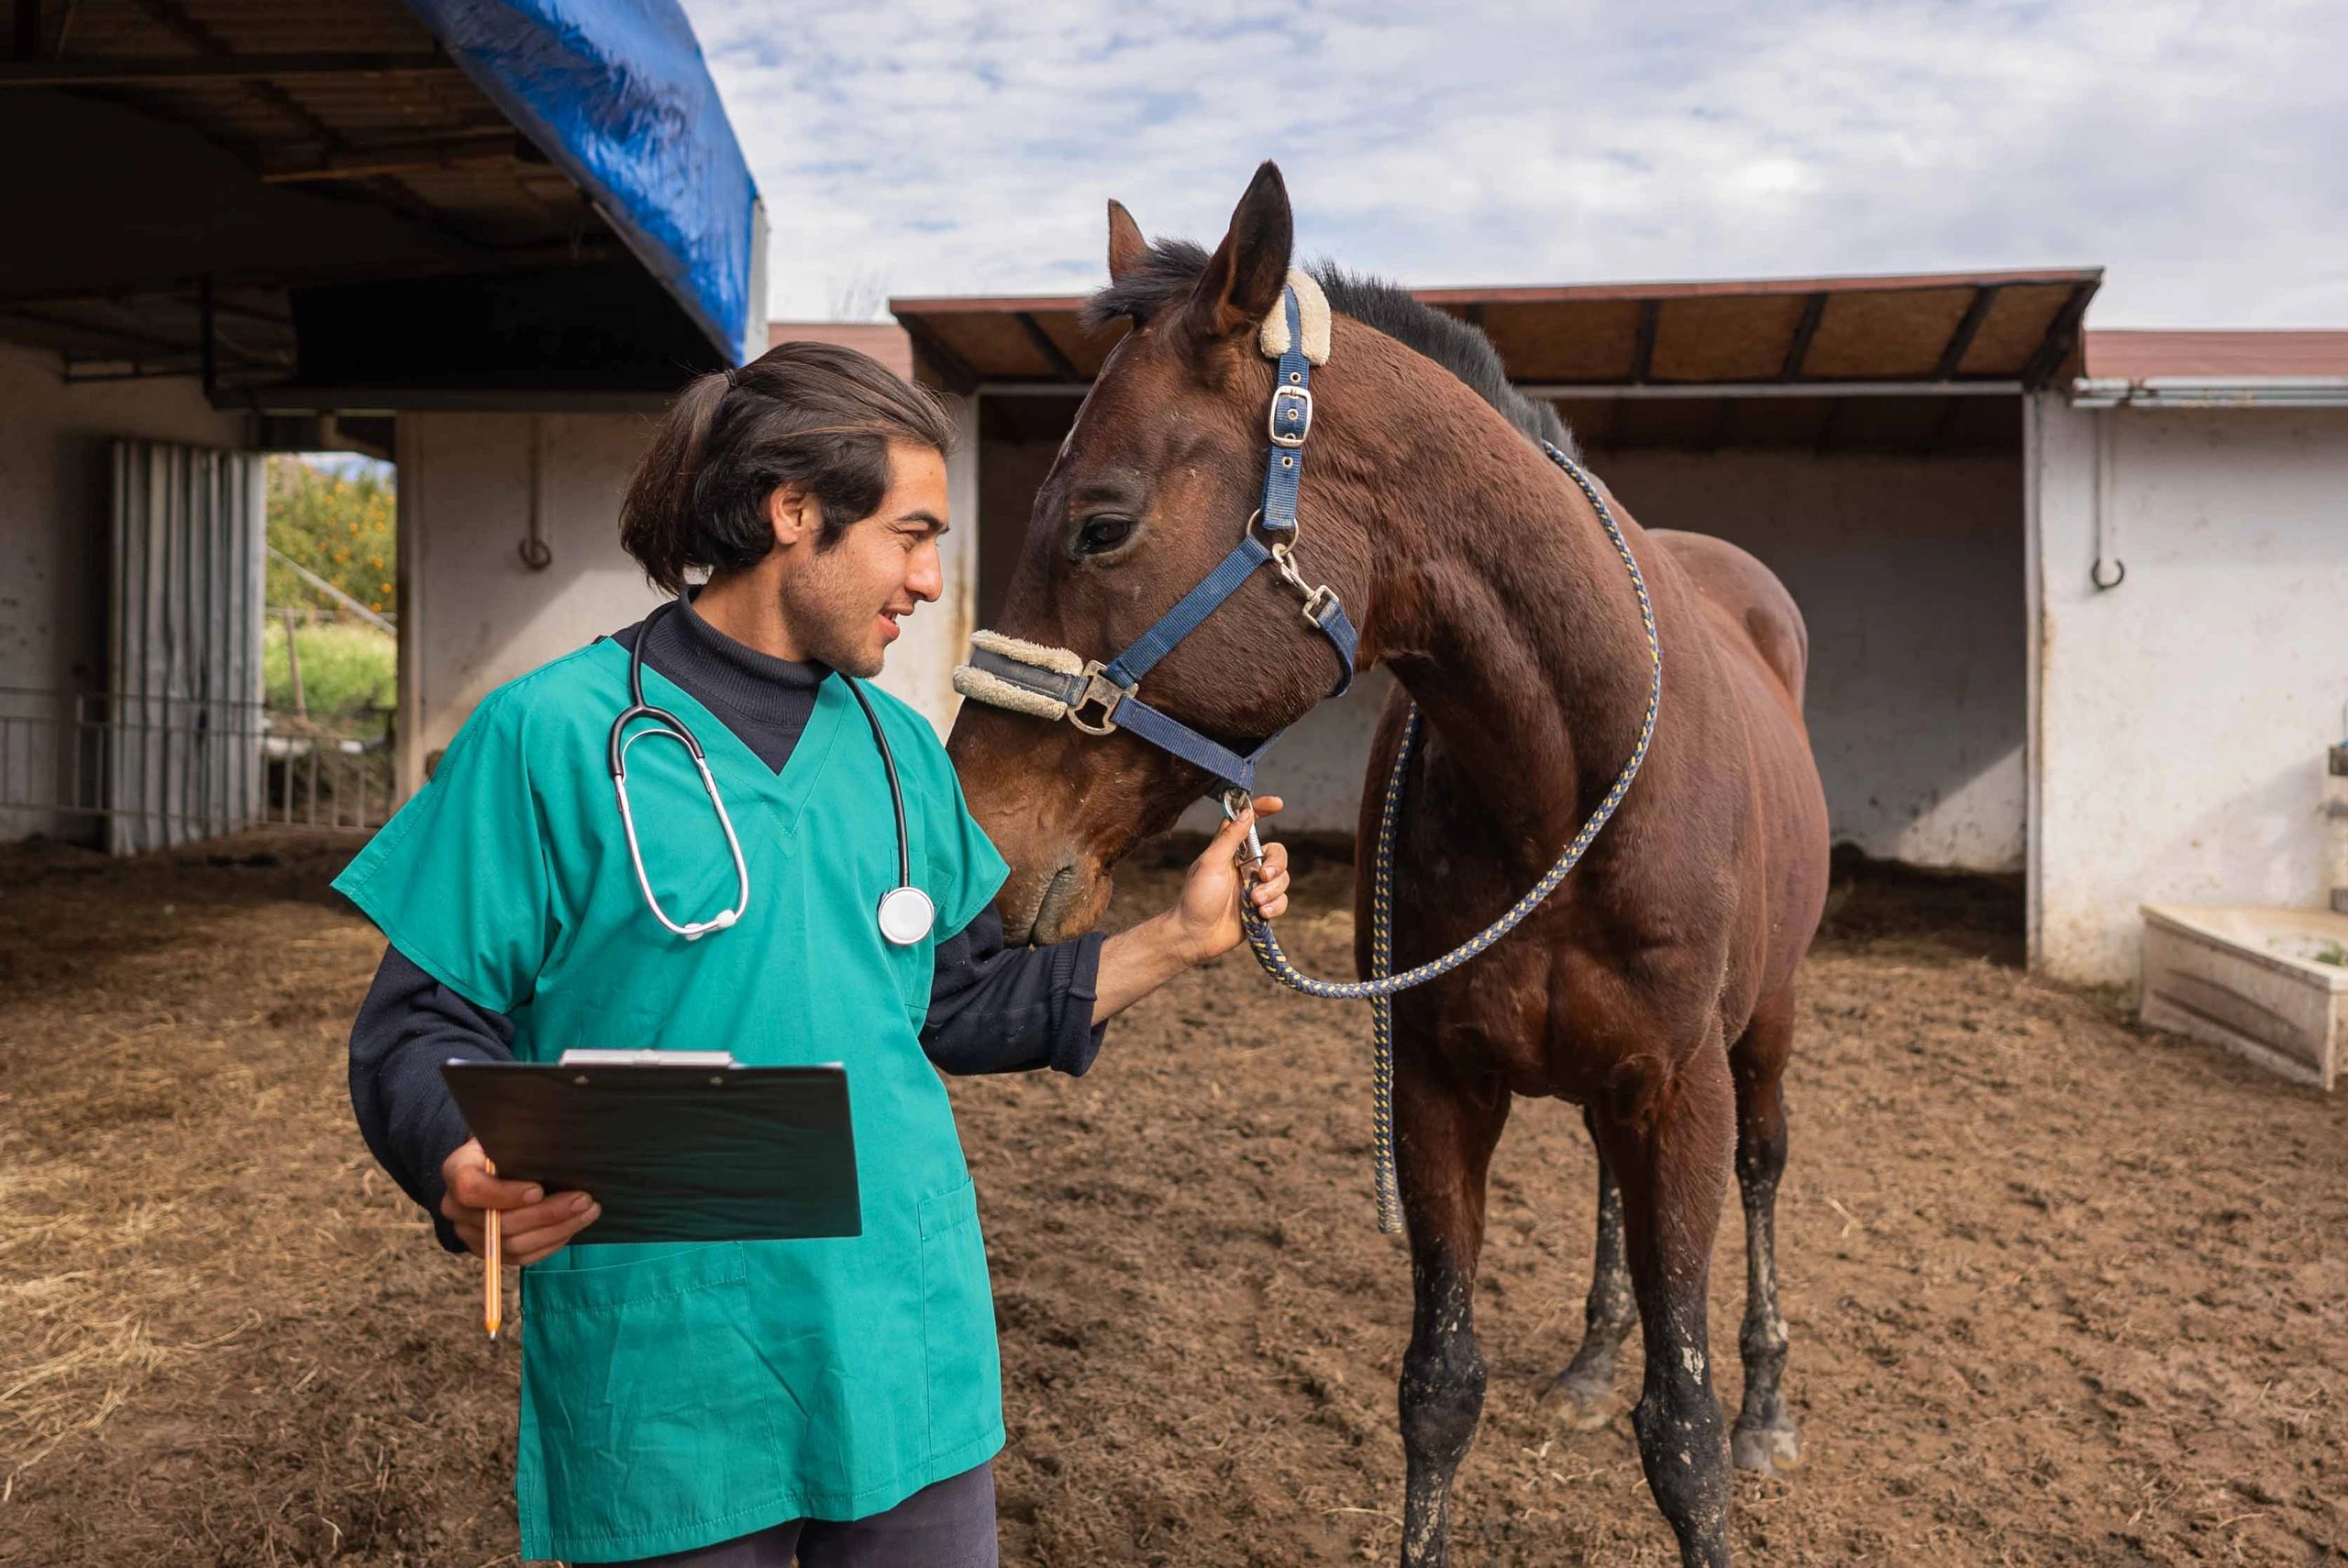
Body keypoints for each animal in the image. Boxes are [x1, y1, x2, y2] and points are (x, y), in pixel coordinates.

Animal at [945, 162, 1831, 1568]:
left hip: (1765, 1027)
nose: (978, 839)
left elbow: (1683, 1432)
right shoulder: (1434, 1083)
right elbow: (1439, 1388)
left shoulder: (1676, 1089)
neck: (1559, 777)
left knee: (1764, 1169)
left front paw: (1718, 1418)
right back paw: (1590, 1359)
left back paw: (1771, 1402)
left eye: (1100, 524)